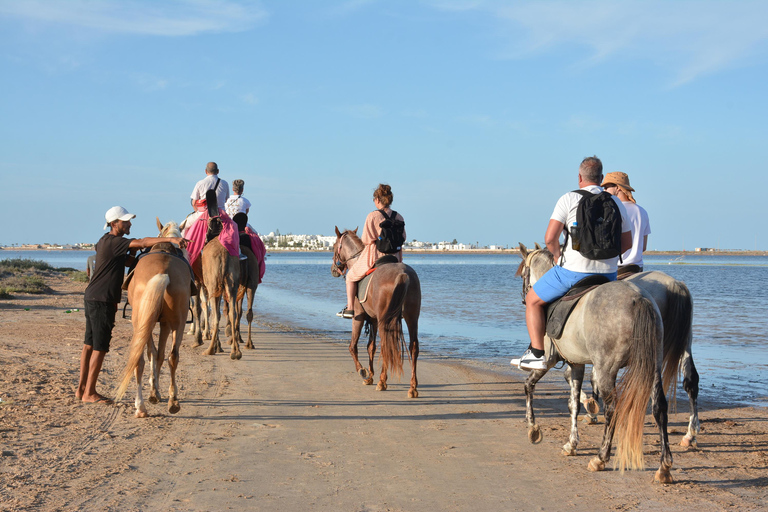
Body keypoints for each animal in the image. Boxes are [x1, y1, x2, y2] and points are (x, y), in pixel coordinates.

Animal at [115, 219, 192, 416]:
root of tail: (163, 271)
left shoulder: (159, 323)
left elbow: (154, 354)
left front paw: (154, 391)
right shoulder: (164, 323)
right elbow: (158, 354)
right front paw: (155, 391)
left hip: (143, 321)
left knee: (140, 359)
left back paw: (141, 405)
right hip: (176, 322)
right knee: (173, 357)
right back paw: (172, 401)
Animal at [332, 226, 424, 398]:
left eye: (334, 246)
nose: (334, 269)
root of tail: (403, 274)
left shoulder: (359, 317)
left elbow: (353, 346)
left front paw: (363, 371)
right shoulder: (373, 319)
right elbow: (371, 347)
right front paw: (370, 376)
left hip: (384, 320)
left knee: (386, 346)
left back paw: (382, 381)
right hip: (411, 318)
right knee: (413, 347)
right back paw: (412, 387)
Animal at [516, 244, 672, 484]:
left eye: (524, 273)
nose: (524, 298)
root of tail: (637, 298)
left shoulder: (549, 361)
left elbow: (528, 386)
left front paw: (533, 429)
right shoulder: (576, 365)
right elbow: (573, 404)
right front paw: (571, 444)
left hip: (607, 370)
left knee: (612, 409)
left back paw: (601, 457)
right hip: (653, 366)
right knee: (659, 408)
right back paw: (664, 467)